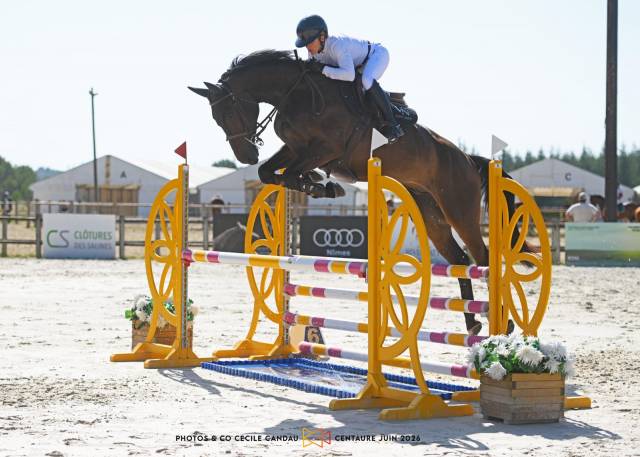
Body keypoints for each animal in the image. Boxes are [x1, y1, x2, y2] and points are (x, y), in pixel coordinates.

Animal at [189, 49, 531, 335]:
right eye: (217, 119)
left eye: (228, 112)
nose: (246, 155)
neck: (296, 93)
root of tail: (468, 160)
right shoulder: (296, 149)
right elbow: (271, 173)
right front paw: (319, 184)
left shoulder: (326, 149)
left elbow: (291, 173)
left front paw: (323, 184)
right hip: (431, 216)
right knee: (460, 259)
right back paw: (473, 322)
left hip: (460, 210)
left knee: (483, 258)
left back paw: (504, 322)